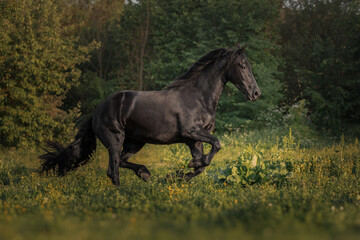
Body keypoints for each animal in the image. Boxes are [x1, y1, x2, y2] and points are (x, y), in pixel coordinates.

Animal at [40, 45, 262, 186]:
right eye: (242, 65)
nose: (256, 93)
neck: (199, 96)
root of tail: (97, 110)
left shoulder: (194, 140)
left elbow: (203, 165)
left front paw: (176, 176)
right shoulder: (191, 132)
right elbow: (216, 144)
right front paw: (180, 171)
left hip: (135, 142)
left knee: (121, 162)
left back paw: (145, 174)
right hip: (115, 140)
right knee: (113, 169)